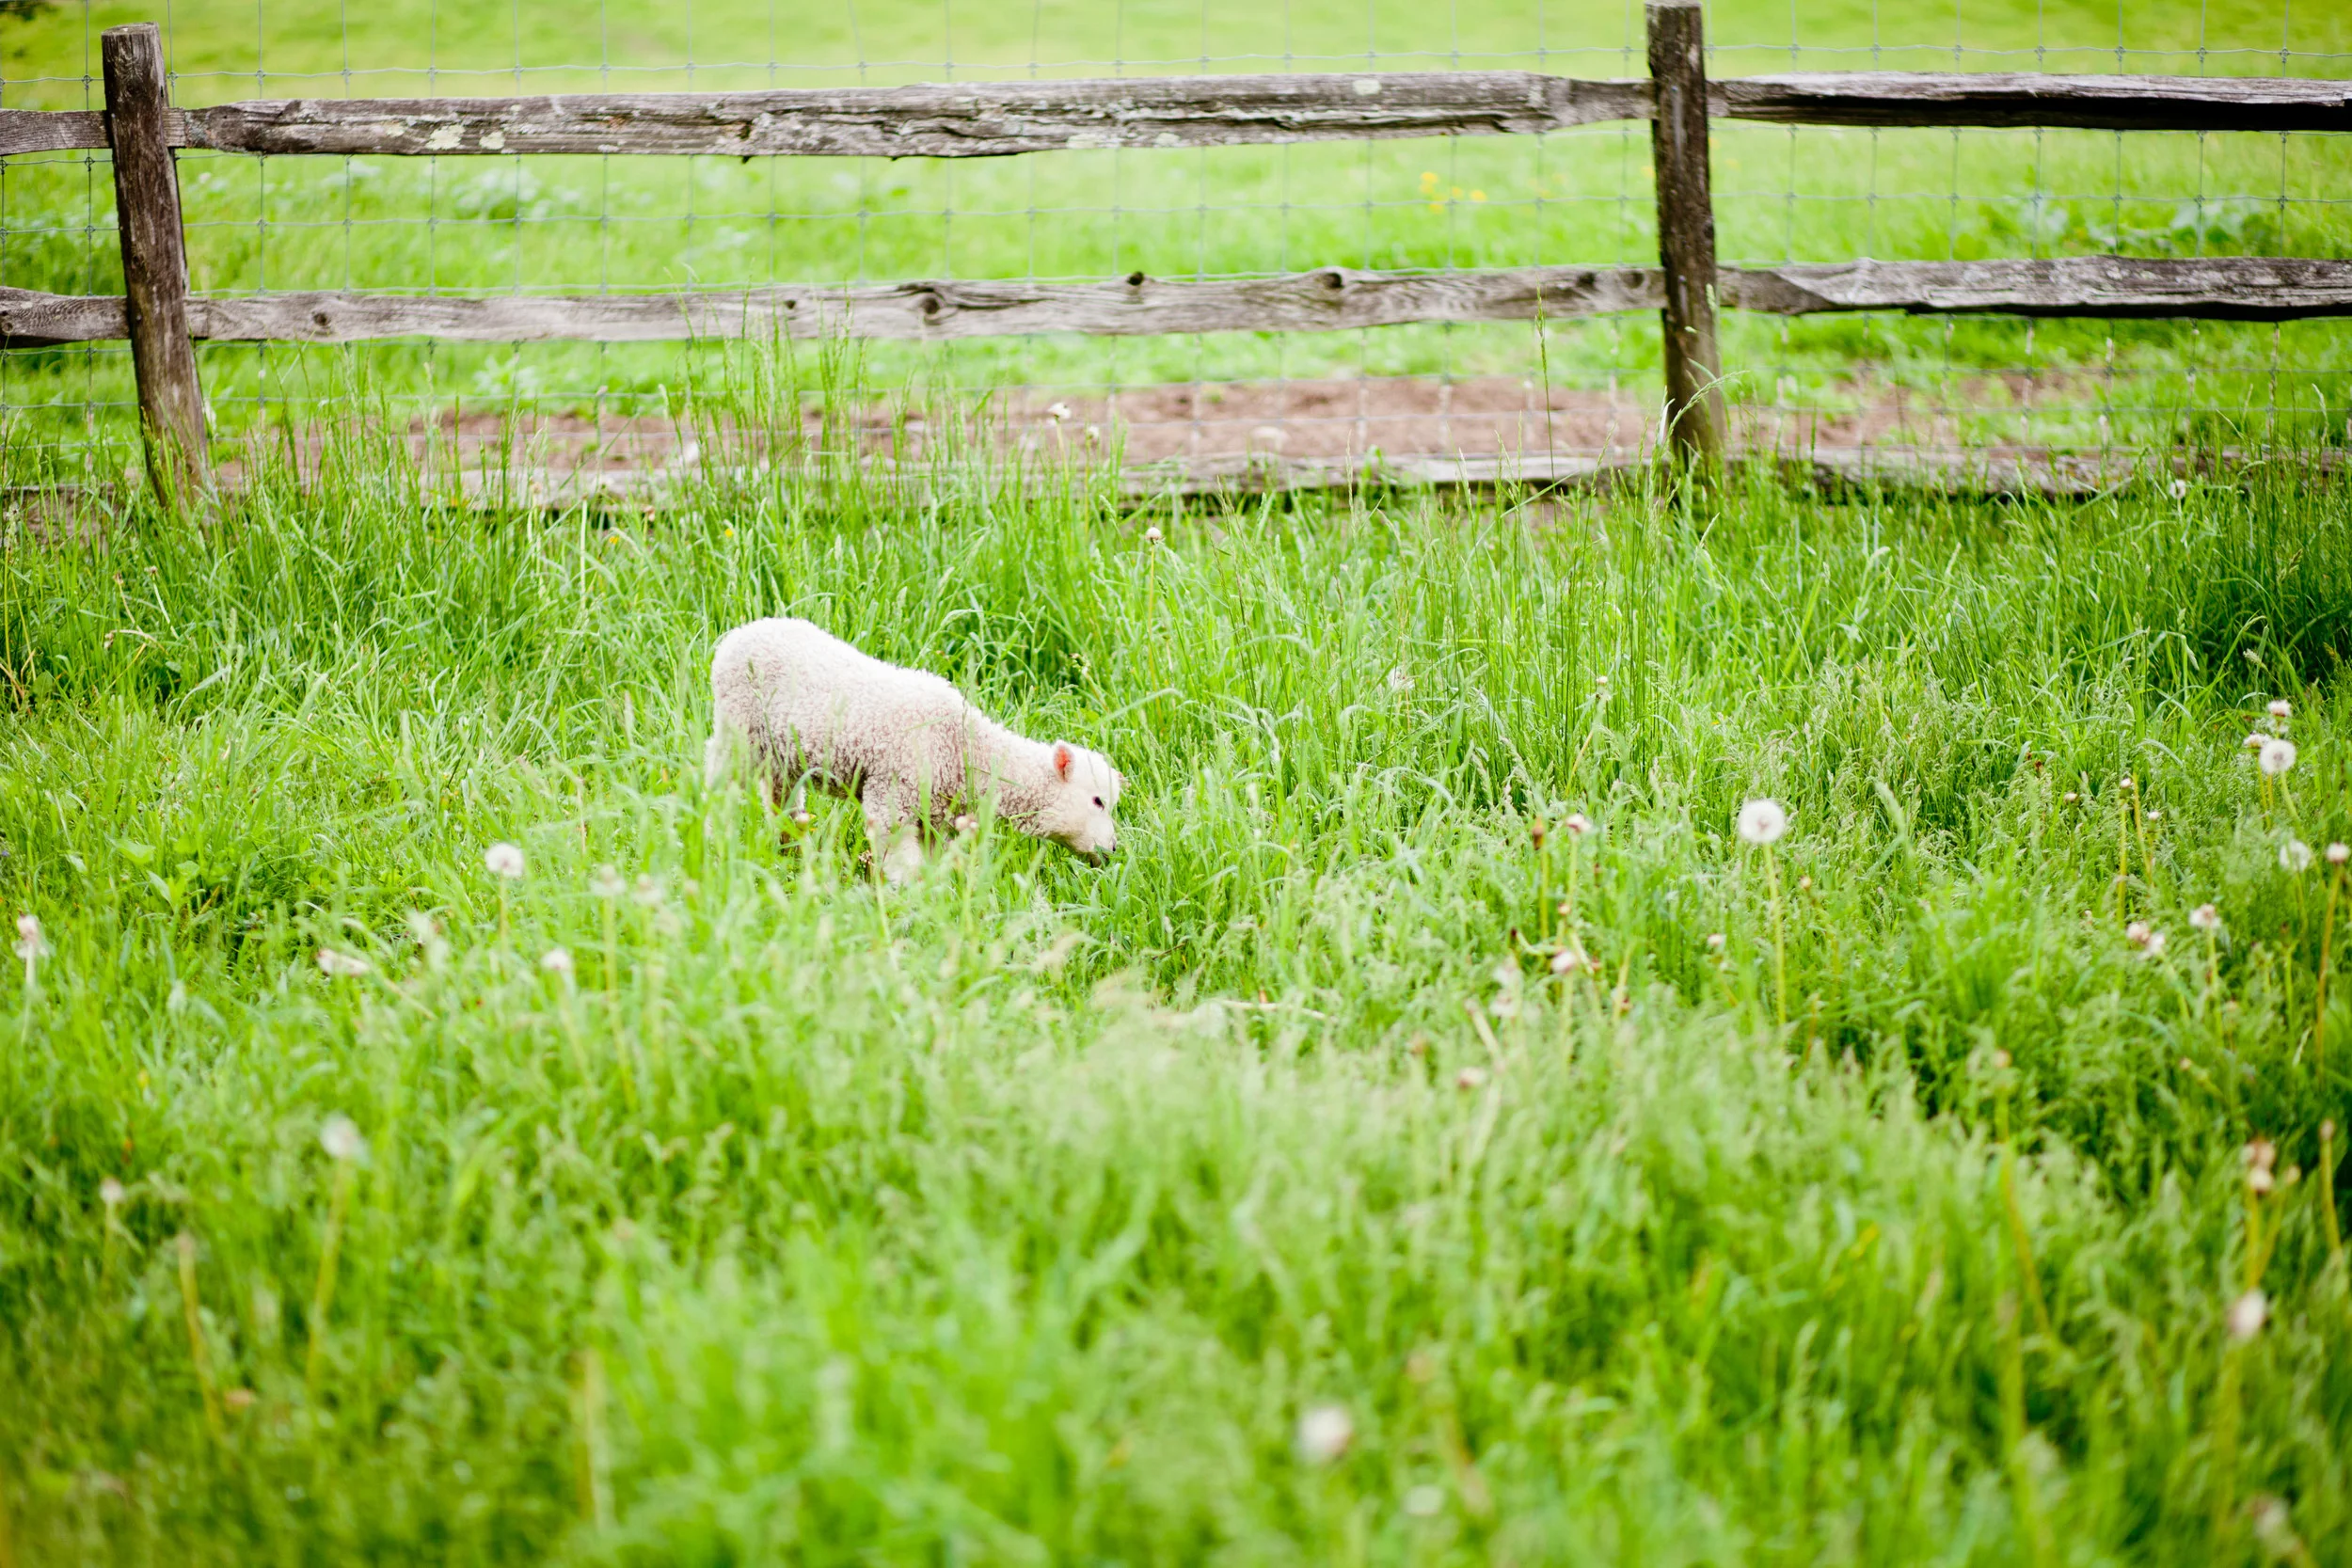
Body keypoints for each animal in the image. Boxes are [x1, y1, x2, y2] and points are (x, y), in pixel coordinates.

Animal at [704, 616, 1124, 879]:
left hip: (782, 754)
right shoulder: (893, 795)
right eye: (1098, 801)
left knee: (782, 799)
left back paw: (789, 849)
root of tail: (742, 632)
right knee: (717, 783)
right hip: (737, 729)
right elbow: (905, 867)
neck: (964, 748)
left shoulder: (934, 817)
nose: (1113, 849)